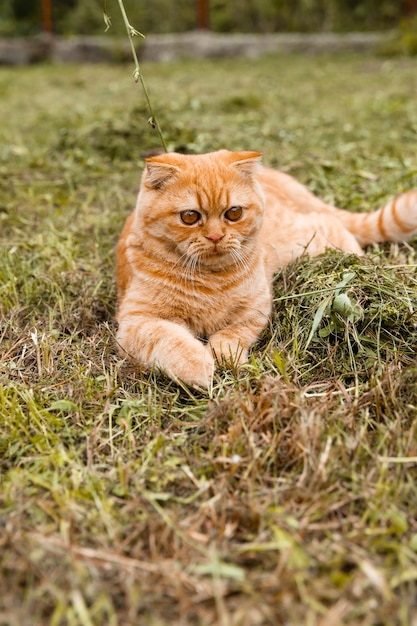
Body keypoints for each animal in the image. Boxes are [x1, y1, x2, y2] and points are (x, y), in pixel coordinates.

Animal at [114, 149, 416, 388]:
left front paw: (225, 355)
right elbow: (169, 340)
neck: (211, 279)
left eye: (233, 213)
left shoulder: (256, 307)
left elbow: (233, 334)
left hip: (303, 241)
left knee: (332, 224)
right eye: (189, 217)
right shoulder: (136, 322)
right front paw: (197, 365)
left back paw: (361, 264)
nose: (215, 237)